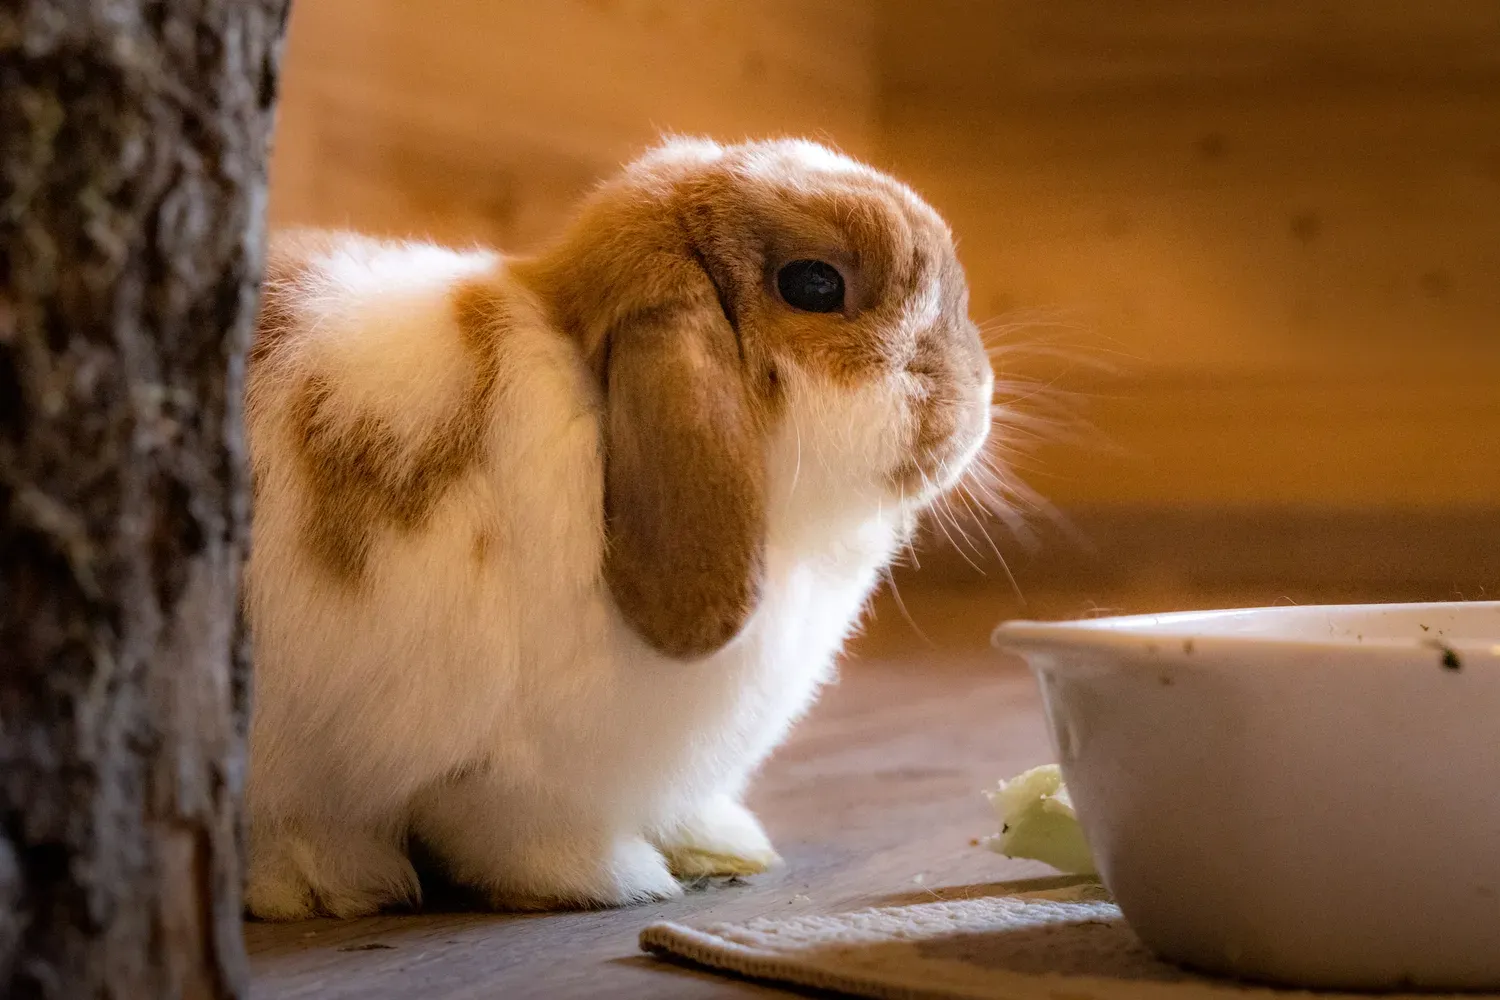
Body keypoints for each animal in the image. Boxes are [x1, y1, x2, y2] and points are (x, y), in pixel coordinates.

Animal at [243, 136, 996, 919]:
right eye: (815, 285)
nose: (977, 390)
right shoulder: (516, 771)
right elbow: (523, 837)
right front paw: (618, 878)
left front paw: (726, 846)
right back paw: (326, 878)